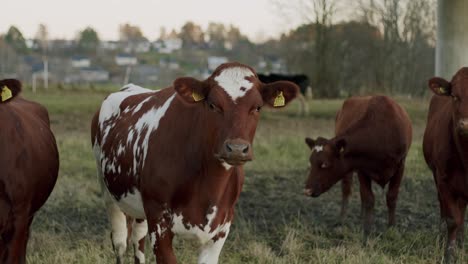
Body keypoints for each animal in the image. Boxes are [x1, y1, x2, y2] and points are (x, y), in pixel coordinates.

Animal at [89, 61, 298, 262]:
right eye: (213, 105)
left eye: (257, 107)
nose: (237, 148)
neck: (208, 185)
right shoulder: (159, 222)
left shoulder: (221, 227)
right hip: (108, 191)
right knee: (120, 242)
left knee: (138, 240)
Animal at [304, 95, 410, 239]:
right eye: (311, 162)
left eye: (325, 164)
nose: (307, 190)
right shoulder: (361, 168)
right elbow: (368, 198)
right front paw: (367, 230)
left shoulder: (400, 166)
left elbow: (391, 197)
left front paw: (392, 228)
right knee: (347, 190)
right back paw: (343, 219)